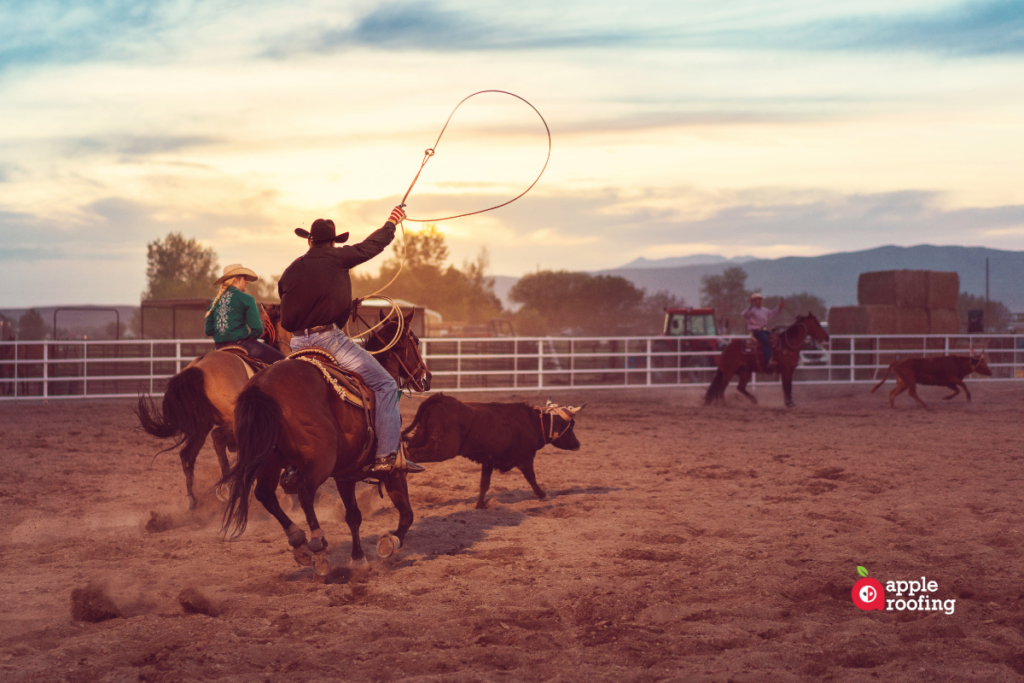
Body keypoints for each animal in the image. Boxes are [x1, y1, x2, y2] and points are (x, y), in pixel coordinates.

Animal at [134, 303, 290, 507]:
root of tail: (198, 367)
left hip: (200, 426)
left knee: (187, 456)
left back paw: (193, 500)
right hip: (229, 422)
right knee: (216, 439)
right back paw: (226, 487)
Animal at [222, 309, 430, 577]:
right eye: (415, 340)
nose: (427, 377)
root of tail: (262, 386)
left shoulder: (345, 474)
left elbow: (353, 516)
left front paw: (358, 558)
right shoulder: (394, 471)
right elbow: (407, 514)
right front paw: (389, 543)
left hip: (270, 459)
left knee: (265, 494)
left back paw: (299, 542)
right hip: (320, 461)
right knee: (304, 491)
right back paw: (317, 546)